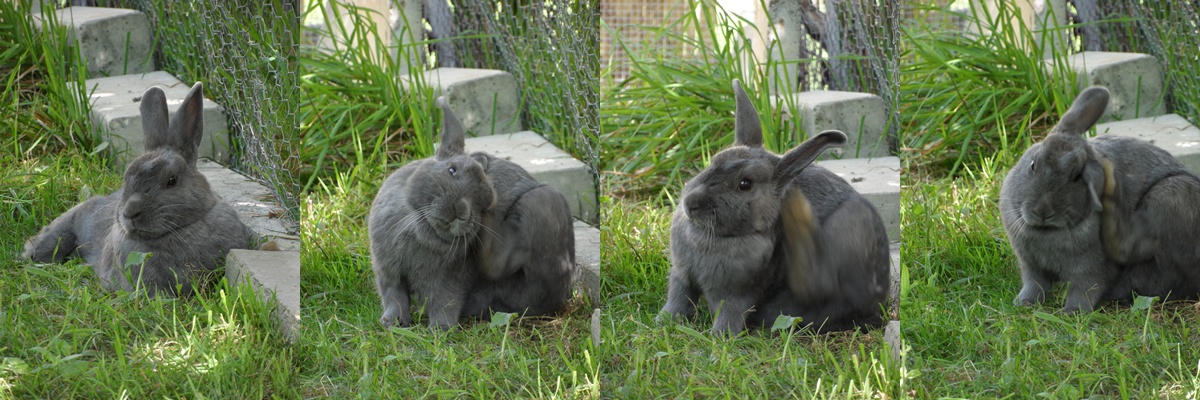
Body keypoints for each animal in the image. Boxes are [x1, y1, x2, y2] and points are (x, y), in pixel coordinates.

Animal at [367, 96, 573, 326]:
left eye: (483, 204)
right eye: (451, 170)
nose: (461, 210)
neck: (419, 227)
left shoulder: (449, 279)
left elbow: (444, 302)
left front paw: (440, 329)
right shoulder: (388, 271)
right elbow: (394, 296)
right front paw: (393, 322)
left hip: (541, 201)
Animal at [662, 80, 888, 333]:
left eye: (745, 184)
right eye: (713, 161)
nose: (690, 203)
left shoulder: (736, 294)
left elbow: (729, 313)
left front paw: (718, 337)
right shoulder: (682, 277)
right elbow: (678, 300)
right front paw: (662, 321)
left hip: (852, 222)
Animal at [998, 84, 1200, 312]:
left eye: (1077, 176)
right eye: (1033, 165)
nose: (1042, 211)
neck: (1046, 231)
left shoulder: (1090, 269)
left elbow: (1085, 288)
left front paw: (1072, 312)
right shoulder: (1031, 265)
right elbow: (1034, 284)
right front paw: (1023, 302)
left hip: (1171, 195)